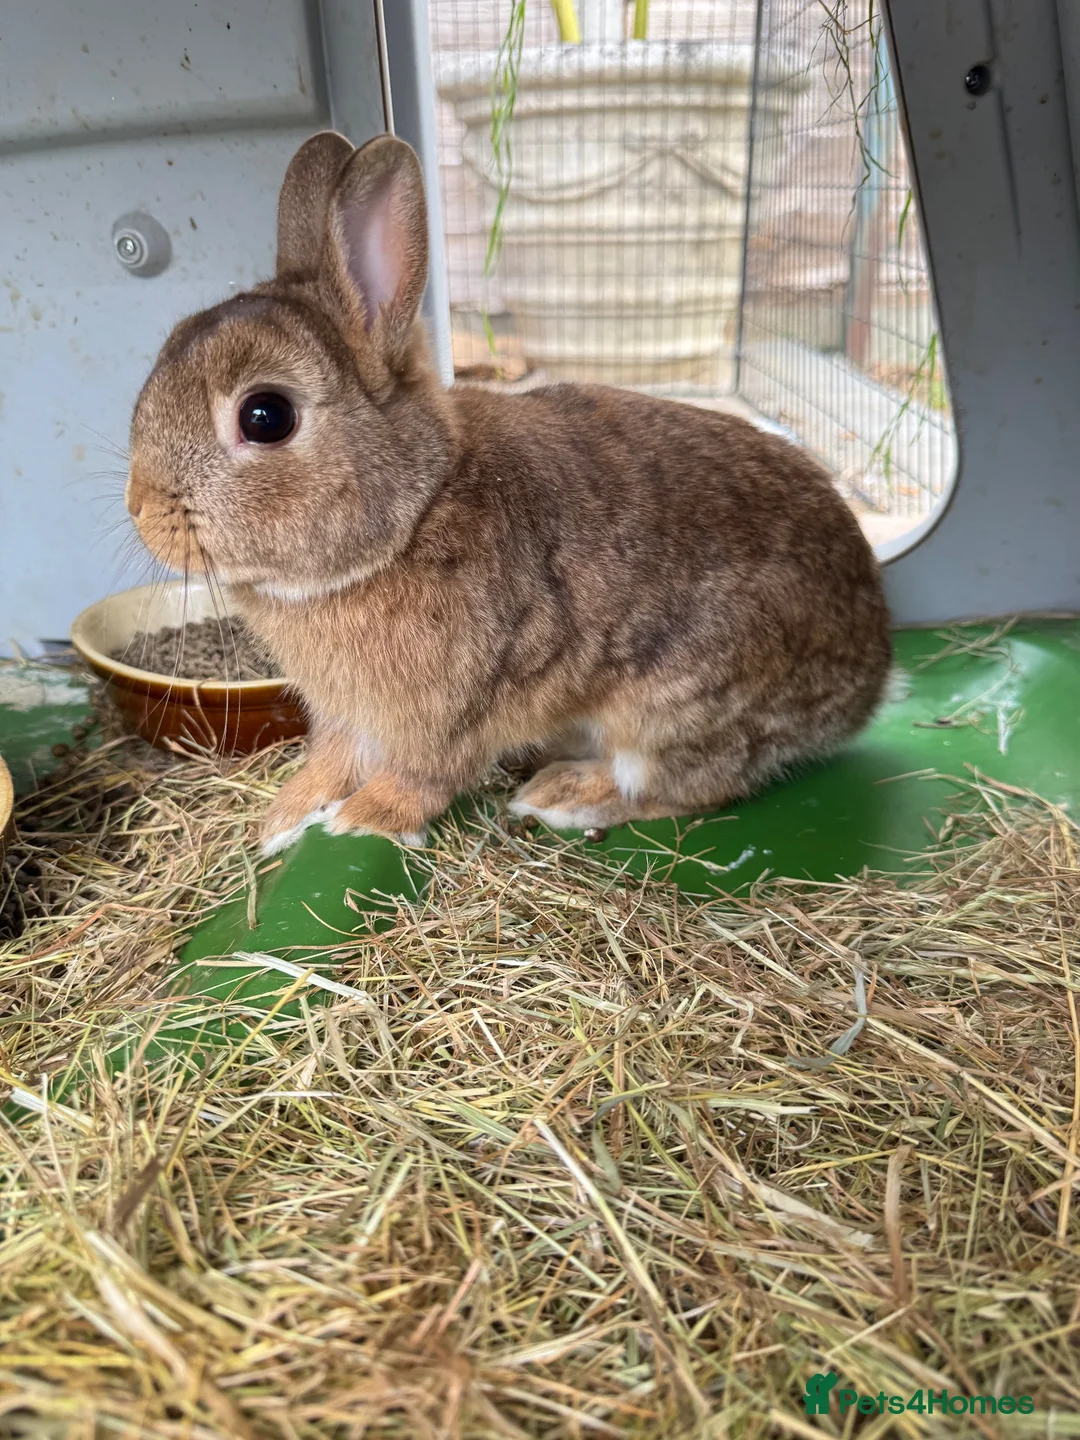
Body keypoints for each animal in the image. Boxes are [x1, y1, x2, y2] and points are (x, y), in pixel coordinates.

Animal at [126, 130, 892, 855]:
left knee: (683, 785)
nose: (139, 507)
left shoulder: (450, 712)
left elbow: (424, 775)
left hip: (674, 708)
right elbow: (332, 761)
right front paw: (284, 818)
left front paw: (363, 821)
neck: (413, 514)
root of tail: (871, 679)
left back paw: (562, 795)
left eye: (266, 416)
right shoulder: (349, 718)